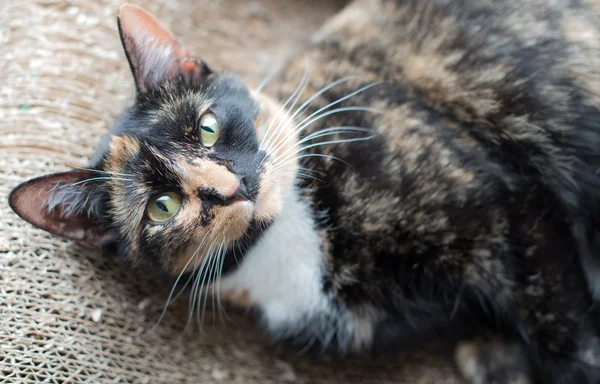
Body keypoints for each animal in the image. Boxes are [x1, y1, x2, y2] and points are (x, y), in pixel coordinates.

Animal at [8, 1, 600, 382]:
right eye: (162, 207)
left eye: (207, 127)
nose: (232, 186)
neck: (295, 238)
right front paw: (497, 357)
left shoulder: (507, 206)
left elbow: (567, 335)